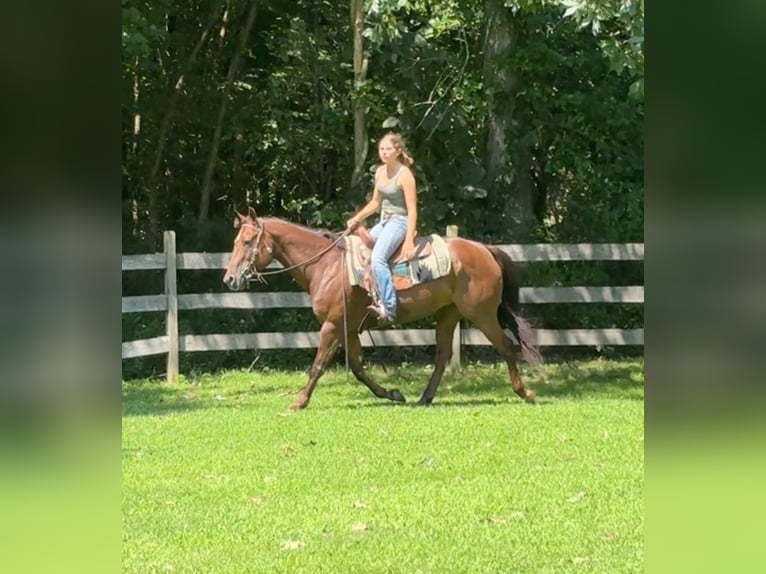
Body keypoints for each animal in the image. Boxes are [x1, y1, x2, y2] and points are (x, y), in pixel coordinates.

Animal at [224, 209, 544, 412]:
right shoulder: (348, 328)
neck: (327, 266)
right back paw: (424, 399)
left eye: (248, 242)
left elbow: (318, 365)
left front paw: (299, 402)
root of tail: (484, 249)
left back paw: (525, 392)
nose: (229, 278)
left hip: (482, 314)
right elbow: (357, 368)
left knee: (506, 347)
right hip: (448, 314)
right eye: (236, 241)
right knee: (442, 356)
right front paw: (393, 394)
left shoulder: (331, 325)